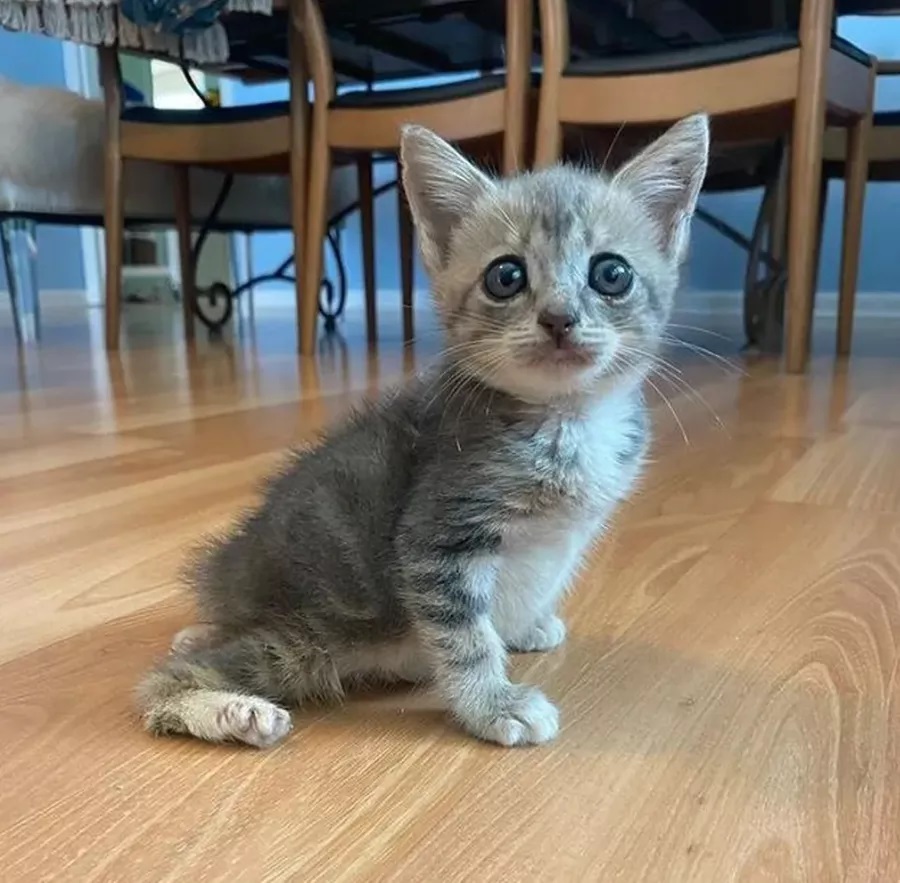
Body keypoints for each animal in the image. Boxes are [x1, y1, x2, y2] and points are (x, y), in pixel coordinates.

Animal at [135, 114, 712, 752]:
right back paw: (230, 708)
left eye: (612, 274)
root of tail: (230, 576)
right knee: (166, 681)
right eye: (506, 276)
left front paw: (526, 625)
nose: (559, 319)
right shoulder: (438, 532)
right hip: (308, 637)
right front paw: (492, 704)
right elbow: (464, 636)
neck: (565, 418)